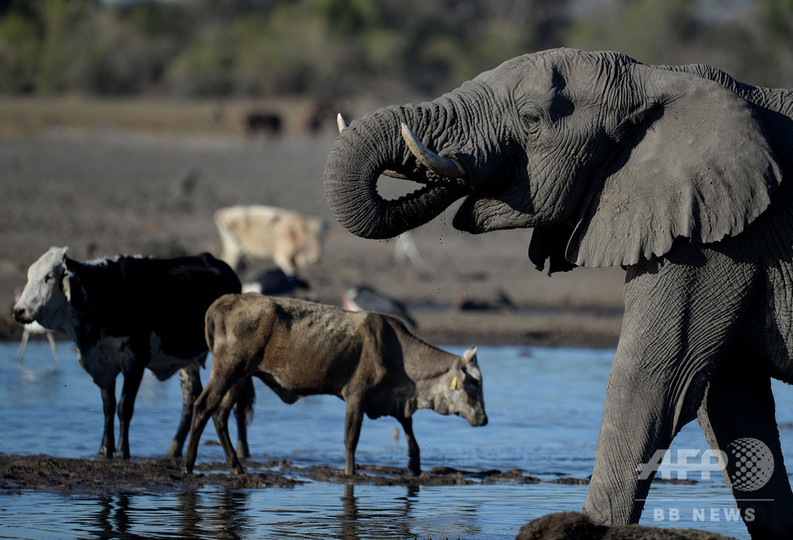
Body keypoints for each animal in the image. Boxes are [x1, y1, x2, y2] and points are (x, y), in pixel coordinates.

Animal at [13, 247, 254, 462]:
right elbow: (108, 406)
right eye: (29, 276)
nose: (18, 310)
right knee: (191, 398)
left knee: (237, 402)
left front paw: (122, 451)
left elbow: (124, 407)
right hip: (189, 360)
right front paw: (104, 450)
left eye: (48, 277)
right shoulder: (104, 364)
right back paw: (173, 449)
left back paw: (242, 450)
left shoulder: (135, 363)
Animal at [184, 294, 488, 474]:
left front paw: (414, 463)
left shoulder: (394, 399)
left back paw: (236, 466)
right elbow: (351, 438)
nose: (484, 419)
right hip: (228, 368)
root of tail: (224, 300)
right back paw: (187, 465)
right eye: (473, 382)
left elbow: (408, 428)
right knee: (203, 406)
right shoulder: (357, 394)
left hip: (242, 374)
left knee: (220, 414)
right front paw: (351, 473)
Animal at [322, 48, 792, 536]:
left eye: (531, 119)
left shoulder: (717, 239)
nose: (457, 171)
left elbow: (654, 378)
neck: (656, 76)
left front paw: (588, 527)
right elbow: (731, 403)